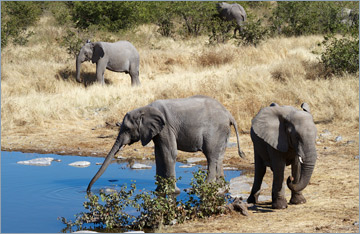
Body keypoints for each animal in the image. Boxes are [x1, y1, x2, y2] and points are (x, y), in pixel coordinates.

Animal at [86, 95, 245, 194]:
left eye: (126, 129)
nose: (88, 191)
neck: (145, 108)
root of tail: (229, 115)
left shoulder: (166, 127)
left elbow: (169, 153)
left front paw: (172, 192)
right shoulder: (157, 131)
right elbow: (159, 155)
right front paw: (159, 192)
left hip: (215, 130)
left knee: (211, 157)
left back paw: (205, 189)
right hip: (223, 132)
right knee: (219, 157)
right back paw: (221, 189)